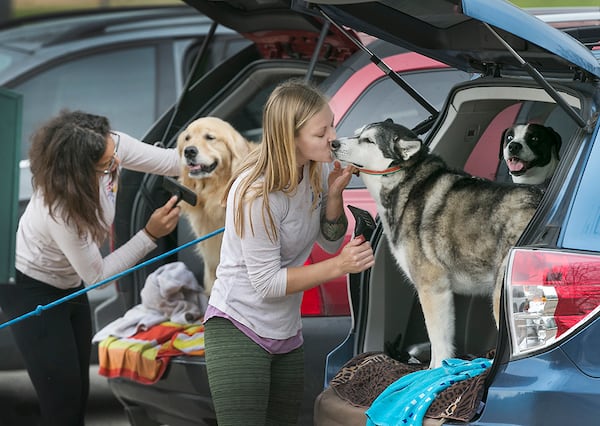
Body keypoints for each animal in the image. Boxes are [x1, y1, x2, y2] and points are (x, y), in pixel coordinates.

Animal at [330, 120, 540, 370]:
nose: (333, 143)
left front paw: (437, 369)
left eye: (368, 140)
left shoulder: (432, 287)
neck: (406, 182)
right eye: (356, 134)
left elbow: (438, 341)